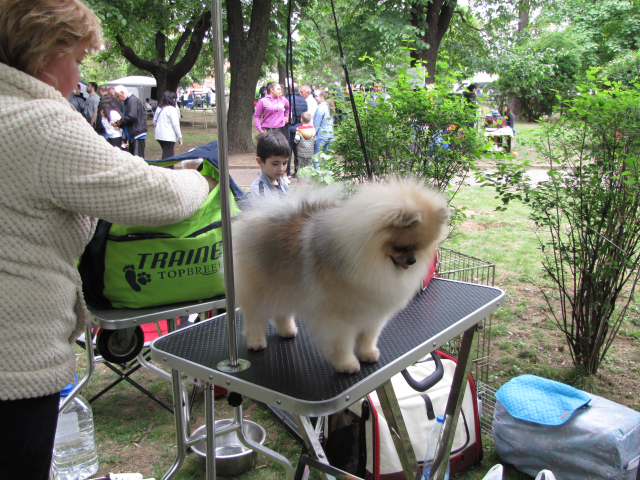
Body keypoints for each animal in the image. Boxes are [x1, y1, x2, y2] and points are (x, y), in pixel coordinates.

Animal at [232, 178, 448, 374]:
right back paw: (256, 341)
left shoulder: (372, 314)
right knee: (255, 317)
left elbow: (368, 337)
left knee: (281, 312)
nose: (412, 260)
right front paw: (347, 364)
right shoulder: (338, 319)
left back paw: (288, 331)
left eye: (420, 247)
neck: (369, 259)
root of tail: (262, 214)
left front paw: (368, 354)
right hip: (263, 290)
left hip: (285, 285)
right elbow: (342, 344)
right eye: (401, 247)